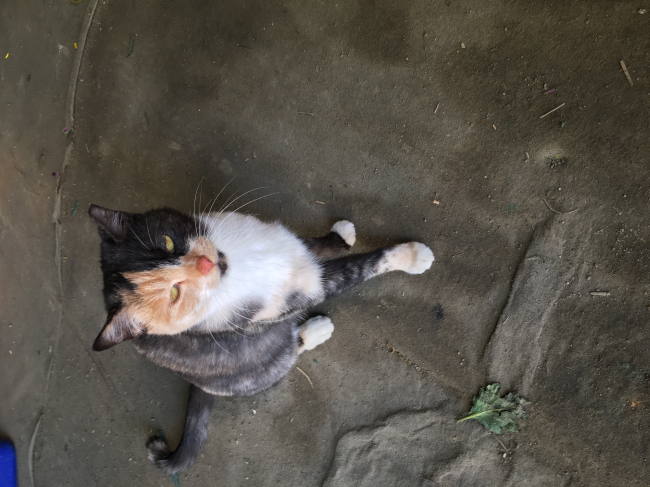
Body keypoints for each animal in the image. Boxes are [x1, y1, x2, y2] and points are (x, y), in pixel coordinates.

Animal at [88, 203, 434, 475]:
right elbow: (354, 269)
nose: (206, 264)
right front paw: (410, 256)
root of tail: (200, 385)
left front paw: (338, 237)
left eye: (169, 242)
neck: (237, 264)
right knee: (288, 350)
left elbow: (307, 246)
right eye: (174, 294)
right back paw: (315, 330)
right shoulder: (289, 301)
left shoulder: (282, 245)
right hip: (262, 360)